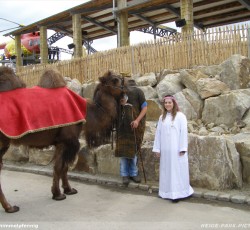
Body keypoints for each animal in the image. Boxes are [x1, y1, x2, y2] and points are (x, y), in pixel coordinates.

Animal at [0, 66, 124, 214]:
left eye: (120, 78)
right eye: (115, 79)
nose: (129, 84)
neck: (87, 111)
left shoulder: (60, 142)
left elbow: (63, 167)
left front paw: (68, 190)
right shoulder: (67, 140)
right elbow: (60, 167)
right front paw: (58, 194)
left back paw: (8, 207)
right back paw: (10, 207)